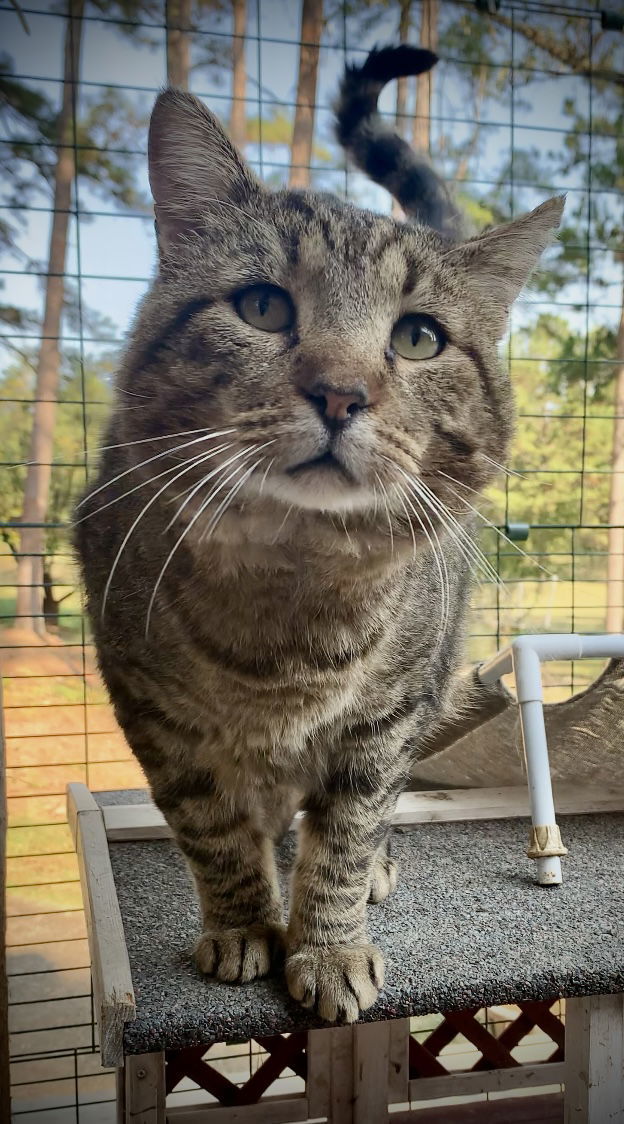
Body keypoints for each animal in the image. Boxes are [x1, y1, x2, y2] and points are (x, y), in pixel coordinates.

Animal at [75, 46, 564, 1020]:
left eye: (419, 338)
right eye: (262, 307)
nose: (342, 393)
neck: (291, 586)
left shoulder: (386, 718)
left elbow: (345, 832)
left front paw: (330, 943)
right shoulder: (153, 714)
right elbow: (212, 827)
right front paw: (243, 924)